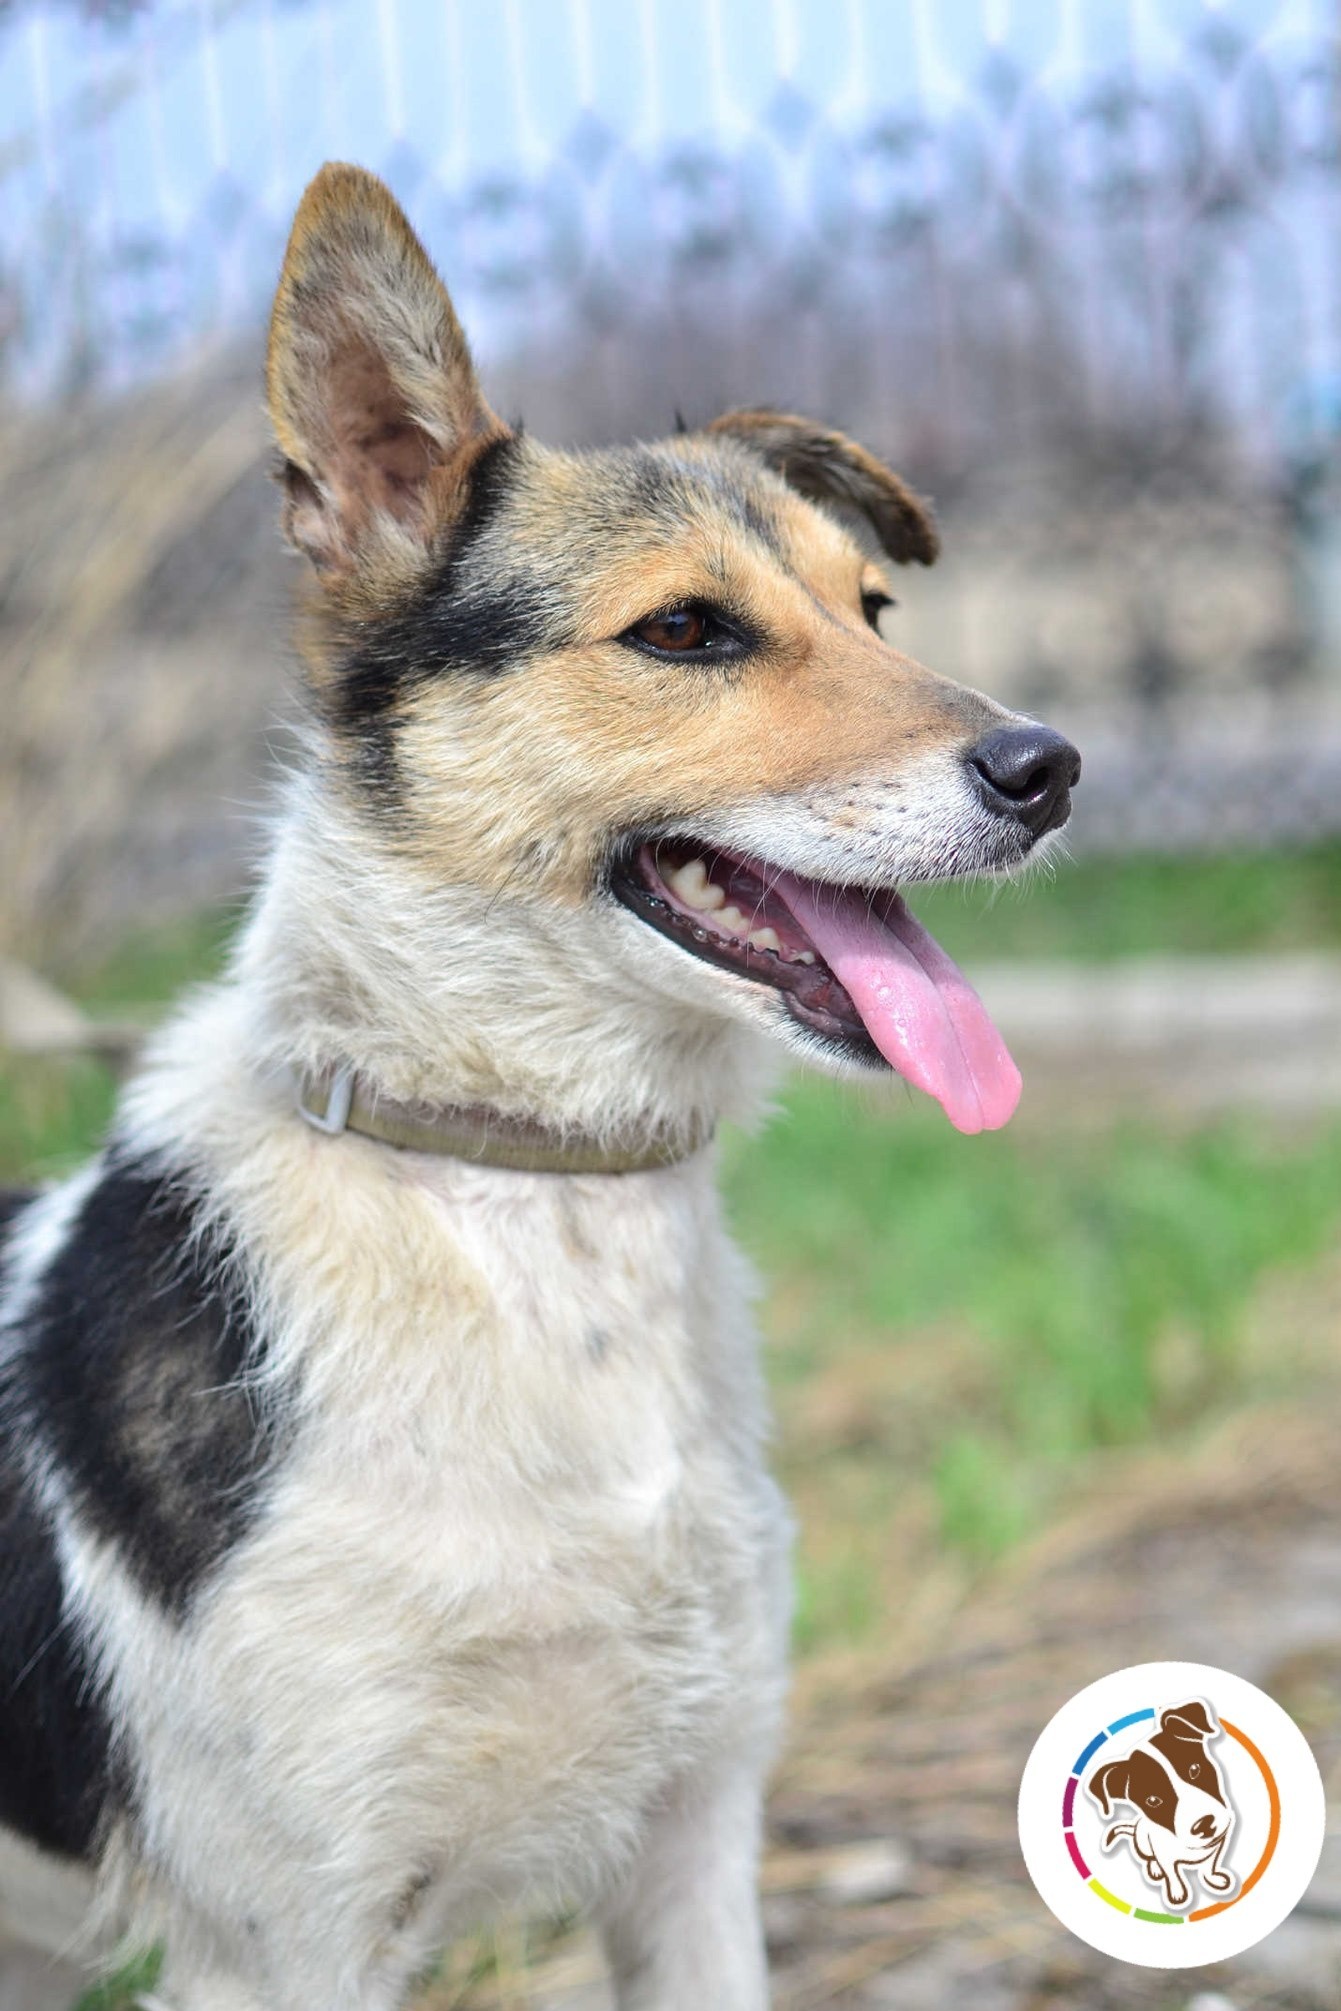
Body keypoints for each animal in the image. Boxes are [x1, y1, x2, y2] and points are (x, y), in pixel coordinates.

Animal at [0, 160, 1077, 2010]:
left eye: (872, 612)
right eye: (685, 631)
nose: (1051, 766)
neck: (524, 1186)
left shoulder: (695, 1849)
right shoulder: (293, 1941)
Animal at [1093, 1705, 1238, 1906]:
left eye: (1194, 1769)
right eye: (1153, 1800)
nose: (1205, 1825)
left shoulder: (1218, 1845)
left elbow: (1209, 1866)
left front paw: (1213, 1879)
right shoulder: (1166, 1858)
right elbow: (1173, 1875)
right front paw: (1177, 1894)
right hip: (1143, 1844)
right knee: (1150, 1859)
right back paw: (1154, 1869)